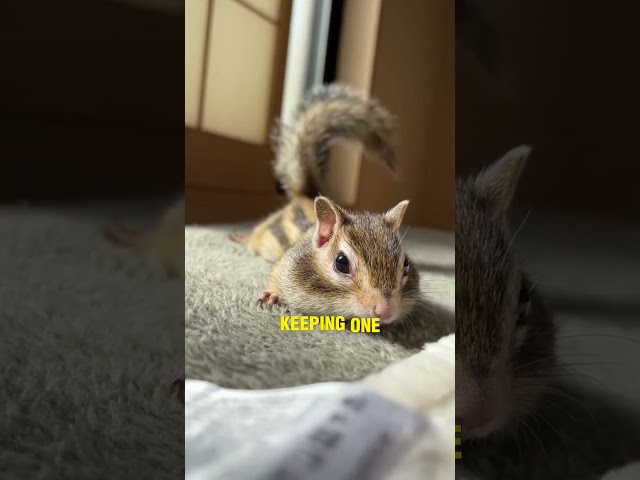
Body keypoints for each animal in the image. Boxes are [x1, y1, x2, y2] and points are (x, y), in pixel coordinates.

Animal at [232, 83, 420, 324]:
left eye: (405, 263)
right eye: (341, 263)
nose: (387, 311)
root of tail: (306, 196)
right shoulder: (285, 265)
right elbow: (274, 276)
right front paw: (272, 294)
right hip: (264, 231)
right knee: (255, 236)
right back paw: (242, 238)